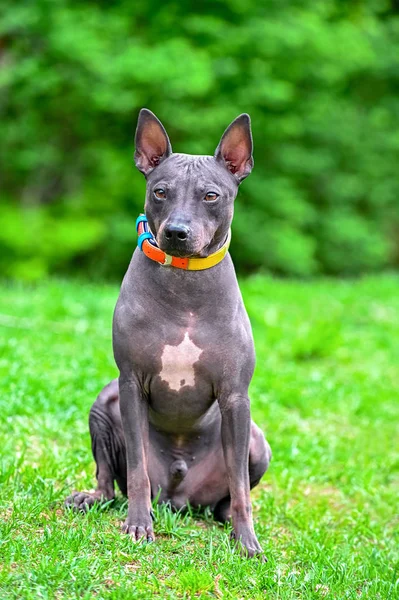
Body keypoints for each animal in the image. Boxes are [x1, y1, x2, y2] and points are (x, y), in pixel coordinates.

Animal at [67, 110, 274, 560]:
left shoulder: (236, 396)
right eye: (160, 191)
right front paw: (138, 525)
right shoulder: (131, 384)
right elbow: (137, 470)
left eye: (211, 196)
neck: (185, 287)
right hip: (104, 405)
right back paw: (96, 498)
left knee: (228, 495)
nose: (177, 232)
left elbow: (241, 487)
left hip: (256, 439)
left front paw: (246, 540)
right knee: (112, 479)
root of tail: (179, 498)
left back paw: (224, 518)